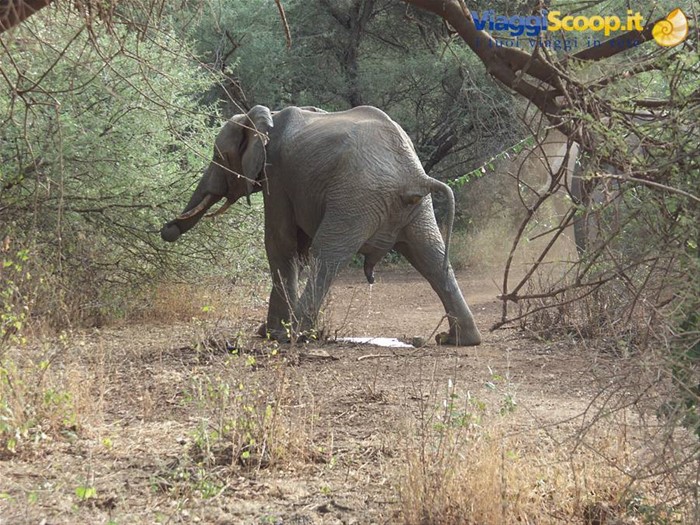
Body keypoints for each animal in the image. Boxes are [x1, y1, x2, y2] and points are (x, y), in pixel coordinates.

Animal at [161, 105, 482, 346]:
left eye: (218, 157)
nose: (167, 231)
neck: (263, 117)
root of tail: (414, 176)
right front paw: (270, 332)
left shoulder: (277, 176)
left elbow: (280, 244)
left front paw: (271, 334)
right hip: (413, 208)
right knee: (431, 257)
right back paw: (456, 340)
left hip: (355, 198)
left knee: (327, 255)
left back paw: (297, 335)